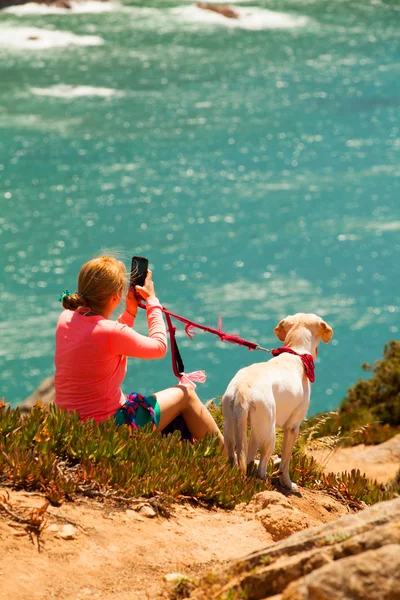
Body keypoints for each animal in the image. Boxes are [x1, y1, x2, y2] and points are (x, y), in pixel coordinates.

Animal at [223, 314, 332, 488]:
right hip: (270, 434)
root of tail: (243, 389)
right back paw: (265, 479)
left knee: (236, 458)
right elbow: (285, 462)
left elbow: (248, 455)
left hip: (232, 427)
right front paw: (287, 483)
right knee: (262, 467)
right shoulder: (293, 427)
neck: (295, 353)